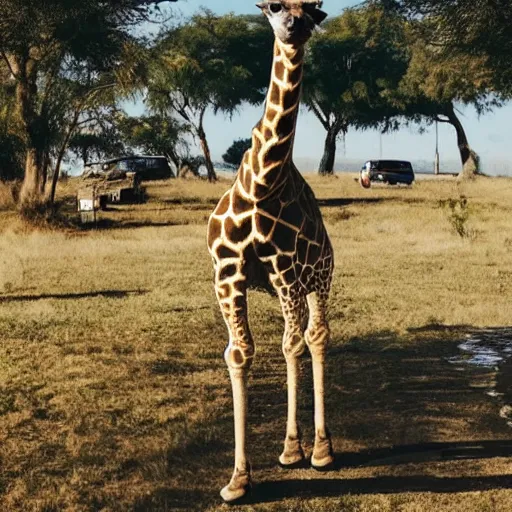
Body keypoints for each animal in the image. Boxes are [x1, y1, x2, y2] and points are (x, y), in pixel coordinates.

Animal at [206, 1, 334, 504]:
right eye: (273, 6)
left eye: (314, 11)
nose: (294, 27)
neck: (262, 181)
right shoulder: (228, 274)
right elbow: (239, 353)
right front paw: (237, 480)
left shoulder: (286, 270)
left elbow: (291, 344)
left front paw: (297, 450)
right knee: (298, 338)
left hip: (318, 278)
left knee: (312, 337)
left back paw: (317, 448)